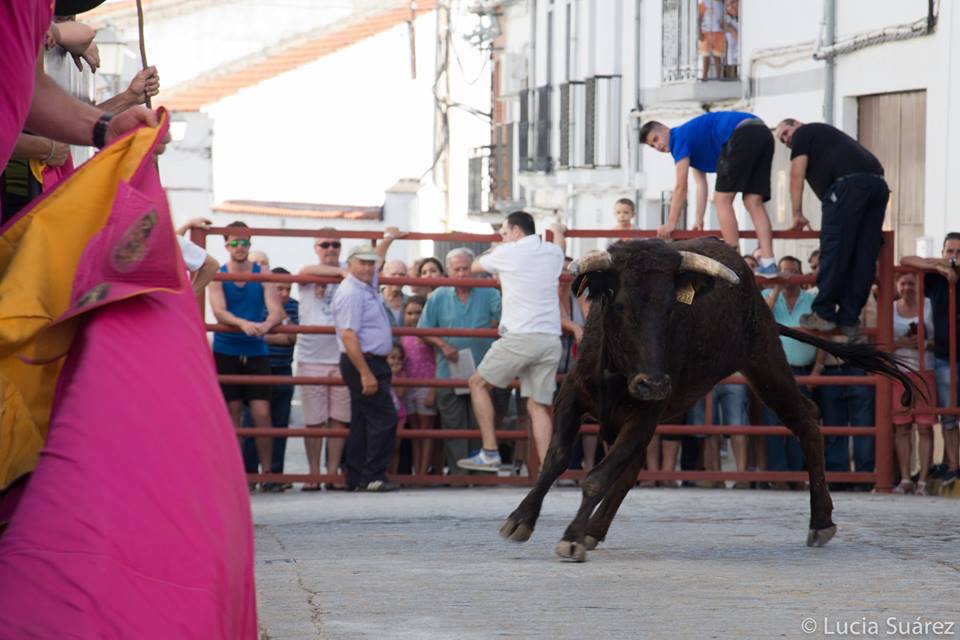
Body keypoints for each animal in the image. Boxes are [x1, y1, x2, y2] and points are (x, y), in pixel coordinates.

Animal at [498, 238, 920, 564]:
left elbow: (596, 476)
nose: (653, 383)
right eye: (620, 306)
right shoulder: (573, 395)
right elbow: (557, 458)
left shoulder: (644, 413)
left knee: (806, 417)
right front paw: (521, 519)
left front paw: (571, 536)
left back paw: (821, 522)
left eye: (671, 308)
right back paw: (595, 529)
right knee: (631, 469)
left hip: (764, 359)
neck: (619, 370)